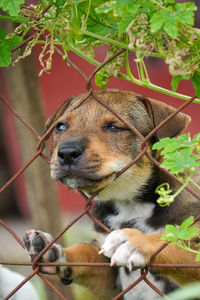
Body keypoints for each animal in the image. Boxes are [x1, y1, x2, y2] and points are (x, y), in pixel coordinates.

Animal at [23, 89, 200, 300]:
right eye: (60, 126)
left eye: (114, 127)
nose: (66, 153)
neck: (129, 203)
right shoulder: (109, 277)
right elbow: (85, 252)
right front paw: (57, 252)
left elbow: (177, 244)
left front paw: (136, 242)